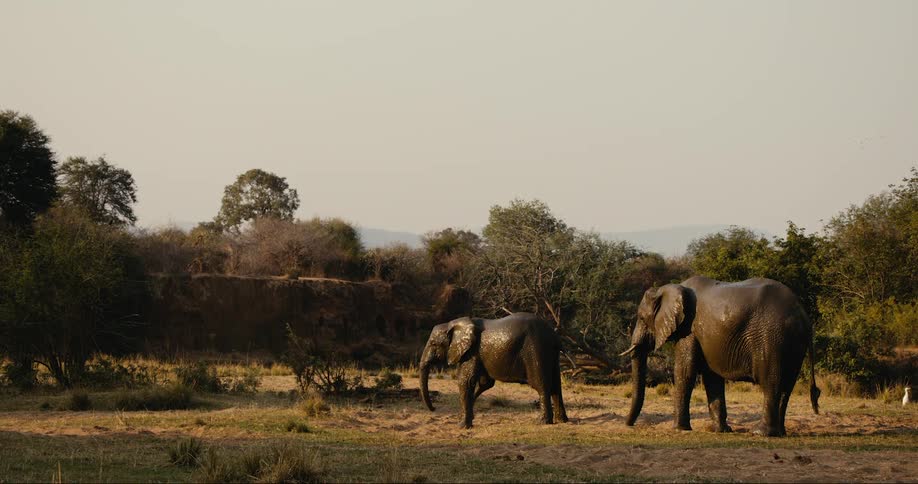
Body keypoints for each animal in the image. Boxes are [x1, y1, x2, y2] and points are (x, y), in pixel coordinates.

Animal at [419, 312, 568, 428]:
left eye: (433, 344)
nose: (434, 409)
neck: (453, 324)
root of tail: (554, 335)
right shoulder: (477, 354)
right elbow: (485, 383)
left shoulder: (471, 352)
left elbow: (465, 382)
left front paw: (461, 426)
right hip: (551, 354)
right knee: (556, 387)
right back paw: (562, 421)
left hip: (536, 349)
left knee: (541, 385)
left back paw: (542, 422)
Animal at [620, 276, 820, 437]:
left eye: (642, 318)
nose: (629, 425)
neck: (668, 288)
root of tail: (803, 315)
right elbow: (712, 378)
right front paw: (720, 430)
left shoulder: (689, 330)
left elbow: (685, 372)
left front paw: (679, 429)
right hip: (792, 342)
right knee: (787, 385)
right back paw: (780, 432)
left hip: (772, 337)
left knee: (771, 382)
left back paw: (761, 433)